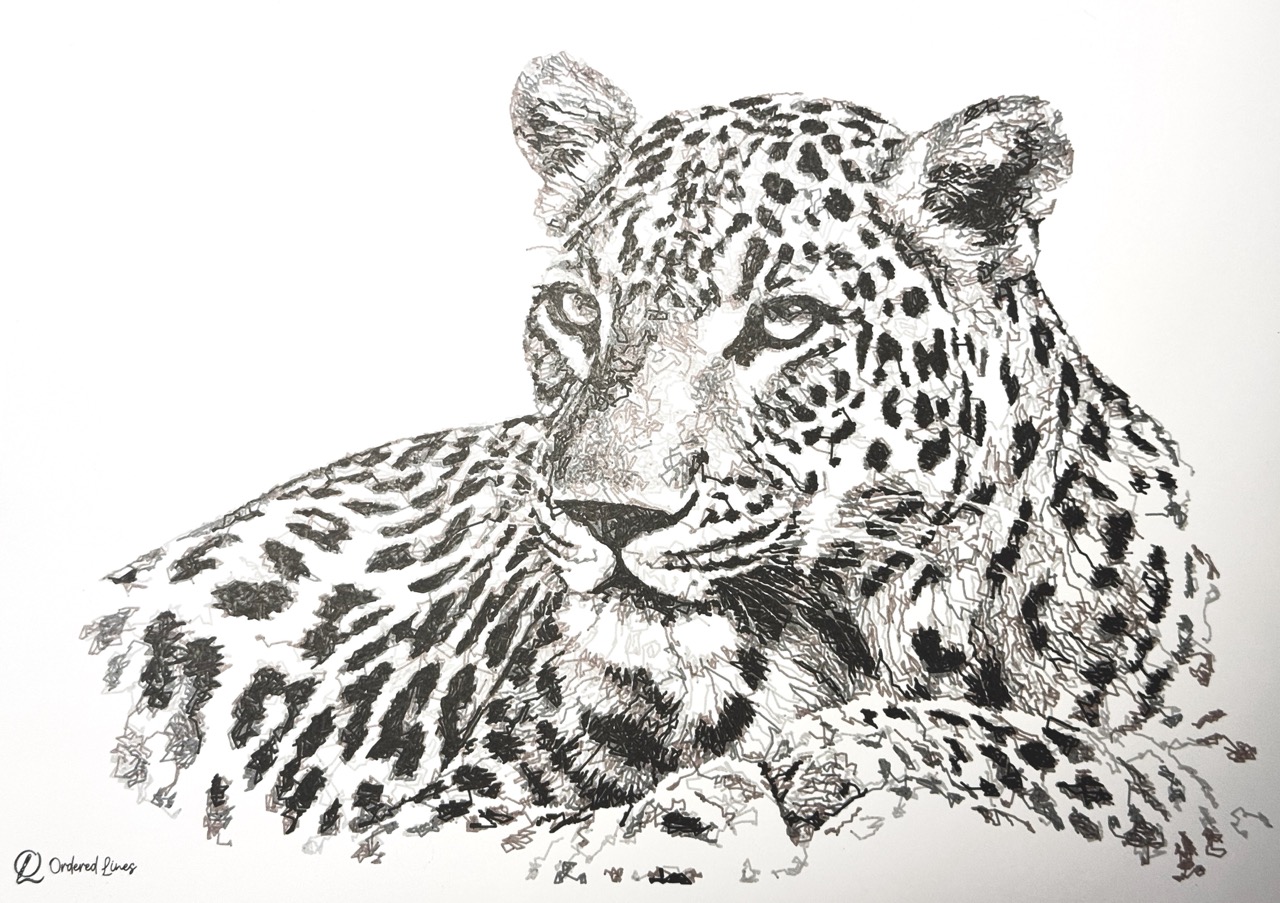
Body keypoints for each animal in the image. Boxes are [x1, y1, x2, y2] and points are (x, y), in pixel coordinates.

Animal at [81, 53, 1262, 882]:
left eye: (784, 321)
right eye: (573, 310)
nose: (603, 515)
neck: (874, 631)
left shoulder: (1220, 752)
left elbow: (1123, 767)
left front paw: (831, 755)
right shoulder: (408, 816)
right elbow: (535, 842)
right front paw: (698, 812)